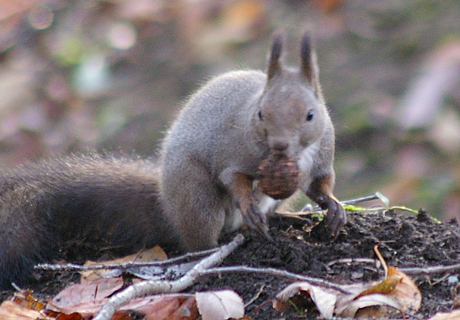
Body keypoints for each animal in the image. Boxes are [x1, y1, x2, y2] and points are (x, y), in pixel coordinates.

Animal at [0, 31, 344, 288]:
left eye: (310, 115)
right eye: (261, 113)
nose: (280, 144)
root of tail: (166, 205)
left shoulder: (322, 157)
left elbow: (321, 185)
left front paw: (334, 208)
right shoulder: (234, 151)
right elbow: (232, 178)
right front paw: (248, 203)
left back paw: (289, 218)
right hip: (196, 198)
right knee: (200, 240)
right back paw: (221, 248)